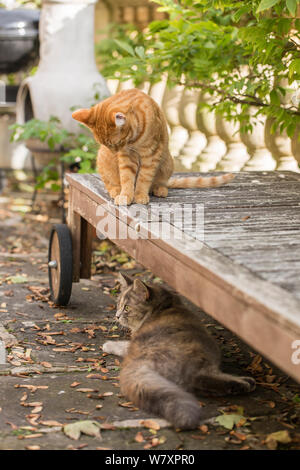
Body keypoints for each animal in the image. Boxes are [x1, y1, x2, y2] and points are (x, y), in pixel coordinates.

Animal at [72, 88, 234, 206]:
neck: (133, 140)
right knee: (110, 183)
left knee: (160, 182)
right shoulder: (126, 157)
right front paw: (125, 195)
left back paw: (159, 189)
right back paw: (116, 190)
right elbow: (126, 178)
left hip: (167, 162)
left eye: (115, 144)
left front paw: (139, 195)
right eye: (107, 145)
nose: (114, 152)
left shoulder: (151, 154)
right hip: (103, 160)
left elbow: (144, 178)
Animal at [103, 274, 255, 432]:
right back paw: (243, 383)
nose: (117, 316)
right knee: (205, 380)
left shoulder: (132, 342)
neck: (164, 306)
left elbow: (123, 345)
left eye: (126, 307)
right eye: (118, 304)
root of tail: (140, 365)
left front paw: (107, 344)